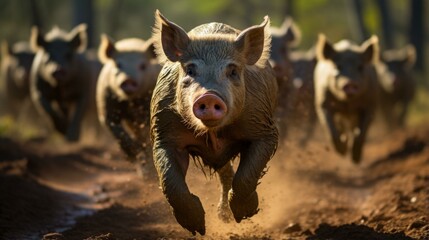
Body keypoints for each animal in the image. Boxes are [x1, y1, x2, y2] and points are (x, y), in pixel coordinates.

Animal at [96, 34, 160, 176]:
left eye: (142, 66)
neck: (131, 102)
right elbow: (118, 132)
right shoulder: (106, 109)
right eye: (118, 65)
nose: (128, 80)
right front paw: (135, 155)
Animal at [150, 10, 278, 234]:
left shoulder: (264, 128)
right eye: (190, 70)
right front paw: (197, 229)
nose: (209, 96)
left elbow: (247, 175)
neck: (213, 133)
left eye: (233, 71)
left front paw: (245, 214)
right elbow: (169, 181)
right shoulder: (163, 133)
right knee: (224, 171)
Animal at [312, 34, 380, 163]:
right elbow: (331, 130)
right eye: (338, 66)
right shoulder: (322, 102)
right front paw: (342, 151)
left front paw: (355, 160)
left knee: (353, 129)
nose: (350, 83)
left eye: (360, 67)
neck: (347, 104)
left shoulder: (371, 104)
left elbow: (361, 133)